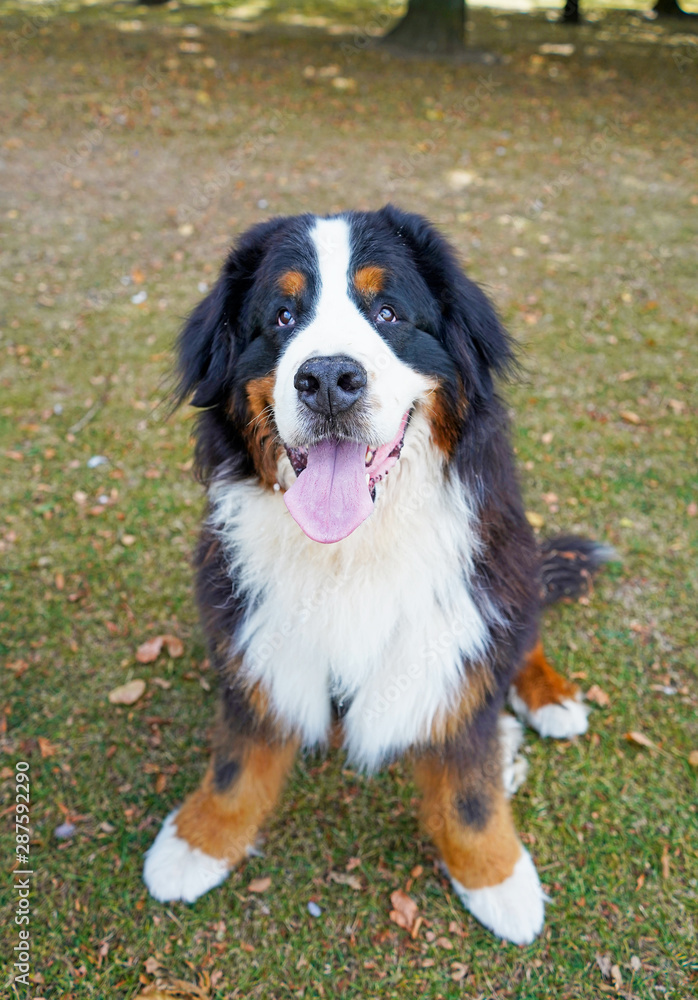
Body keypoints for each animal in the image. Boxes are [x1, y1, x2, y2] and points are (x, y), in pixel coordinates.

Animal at [141, 205, 608, 944]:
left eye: (388, 312)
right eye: (281, 316)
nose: (329, 378)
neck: (351, 550)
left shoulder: (461, 625)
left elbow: (470, 791)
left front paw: (498, 879)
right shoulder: (253, 633)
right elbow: (237, 761)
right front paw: (198, 841)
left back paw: (548, 700)